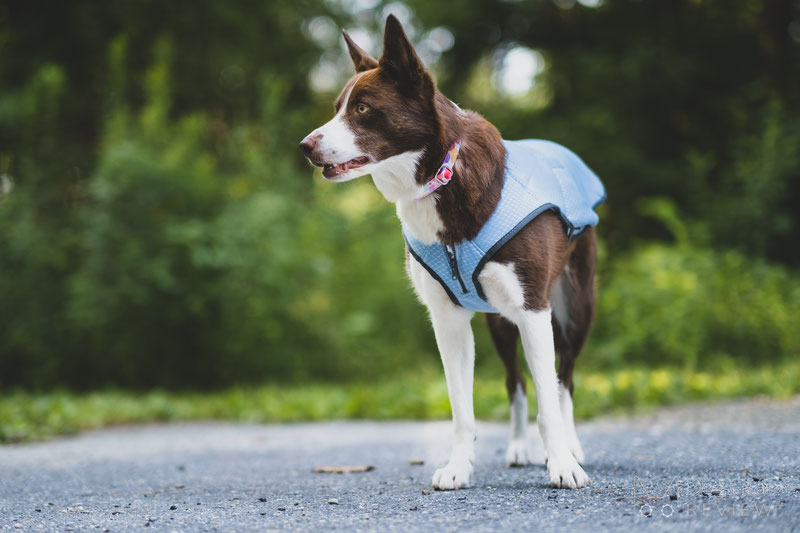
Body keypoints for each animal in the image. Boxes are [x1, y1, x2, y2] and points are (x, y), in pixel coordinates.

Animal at [300, 14, 608, 488]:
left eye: (363, 108)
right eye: (337, 107)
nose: (305, 146)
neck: (441, 176)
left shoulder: (534, 308)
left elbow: (549, 401)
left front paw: (561, 465)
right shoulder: (448, 320)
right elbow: (463, 409)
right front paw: (459, 468)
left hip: (576, 305)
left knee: (564, 381)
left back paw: (570, 448)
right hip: (500, 322)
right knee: (515, 382)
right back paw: (518, 448)